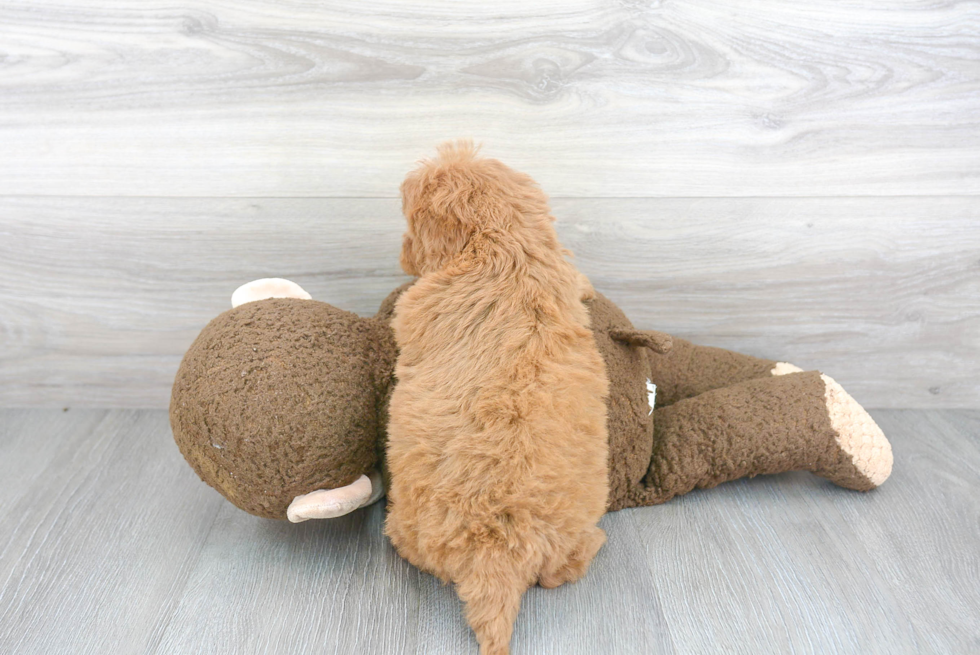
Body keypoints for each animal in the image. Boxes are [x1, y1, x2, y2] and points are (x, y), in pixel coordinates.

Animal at [384, 144, 608, 655]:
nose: (403, 254)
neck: (506, 243)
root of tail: (496, 555)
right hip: (567, 541)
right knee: (565, 570)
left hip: (411, 525)